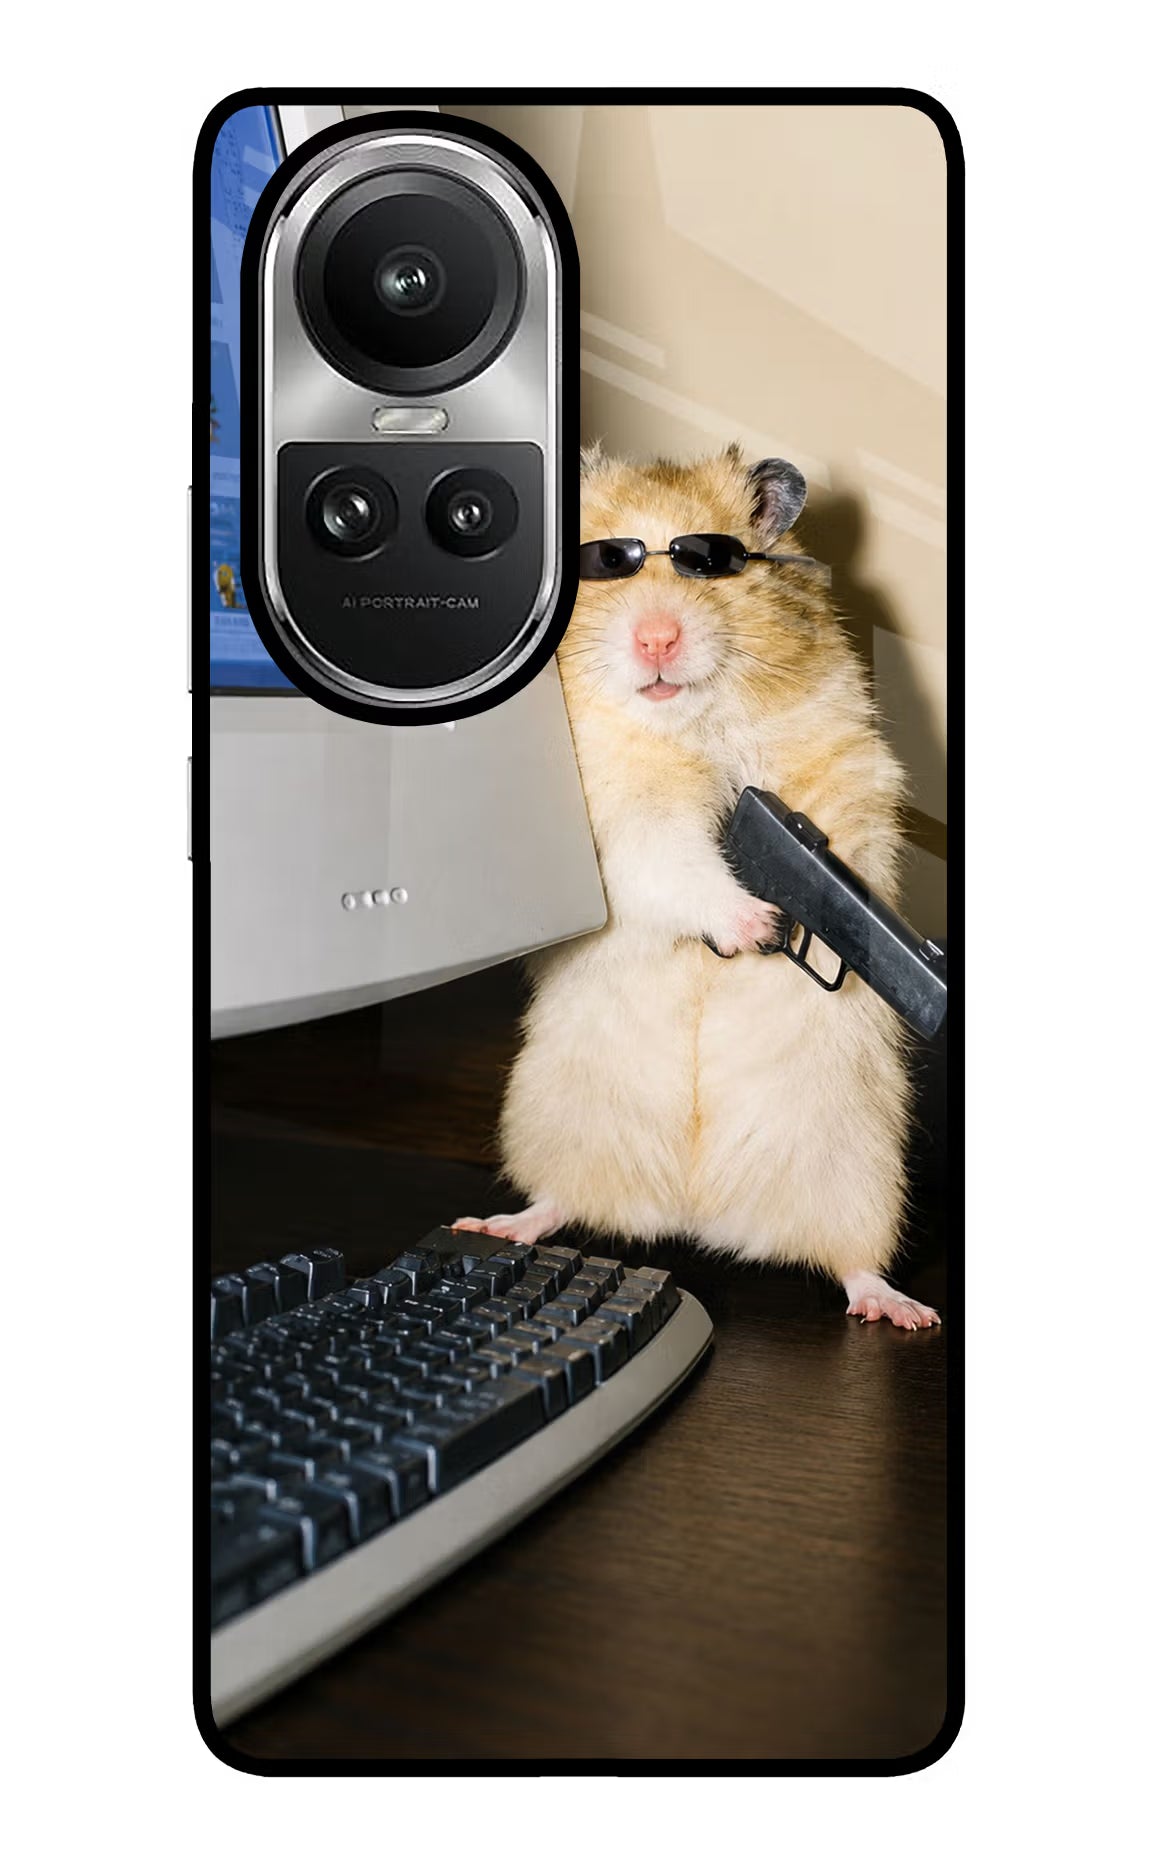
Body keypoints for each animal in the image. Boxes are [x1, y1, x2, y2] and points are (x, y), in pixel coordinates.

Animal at [457, 445, 939, 1329]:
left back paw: (901, 1310)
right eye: (603, 564)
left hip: (857, 1168)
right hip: (556, 1119)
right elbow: (674, 861)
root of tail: (694, 1212)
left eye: (709, 562)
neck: (688, 724)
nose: (657, 639)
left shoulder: (844, 764)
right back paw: (498, 1223)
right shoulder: (620, 821)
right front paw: (756, 925)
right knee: (561, 1200)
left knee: (852, 1261)